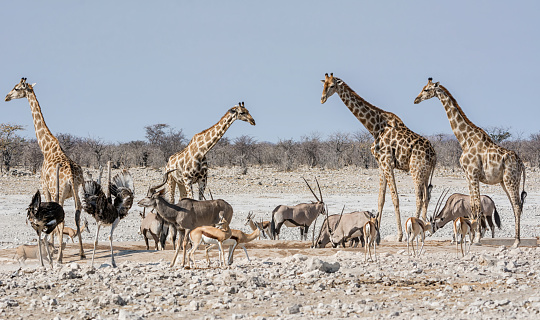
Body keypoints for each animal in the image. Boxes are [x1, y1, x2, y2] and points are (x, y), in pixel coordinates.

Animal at [4, 77, 86, 260]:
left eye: (16, 88)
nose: (6, 97)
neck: (46, 148)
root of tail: (71, 175)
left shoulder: (45, 187)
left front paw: (53, 248)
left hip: (59, 192)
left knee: (62, 217)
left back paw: (60, 256)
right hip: (79, 190)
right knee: (77, 214)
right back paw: (82, 253)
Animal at [322, 74, 436, 241]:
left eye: (332, 86)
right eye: (324, 85)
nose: (322, 98)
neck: (374, 127)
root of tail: (434, 154)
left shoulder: (387, 163)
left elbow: (395, 197)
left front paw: (399, 235)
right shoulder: (381, 164)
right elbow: (380, 199)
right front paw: (377, 231)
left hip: (416, 170)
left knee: (419, 197)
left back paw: (413, 232)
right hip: (426, 173)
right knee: (427, 197)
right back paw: (423, 231)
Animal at [416, 78, 524, 248]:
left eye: (426, 90)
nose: (416, 99)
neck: (465, 140)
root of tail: (522, 164)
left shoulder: (473, 174)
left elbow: (478, 206)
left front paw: (477, 238)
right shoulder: (468, 175)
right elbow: (473, 205)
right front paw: (472, 237)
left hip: (510, 180)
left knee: (518, 206)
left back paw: (516, 242)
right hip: (504, 182)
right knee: (515, 205)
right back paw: (515, 239)